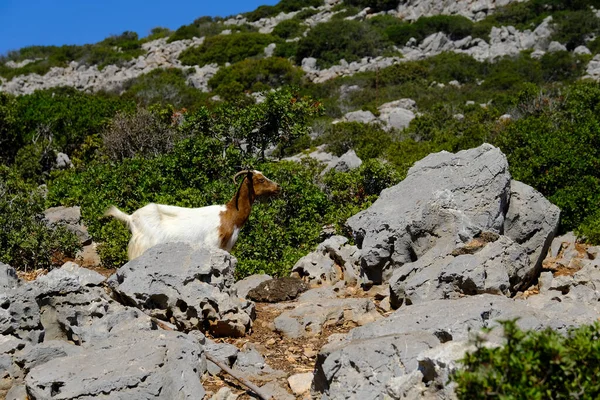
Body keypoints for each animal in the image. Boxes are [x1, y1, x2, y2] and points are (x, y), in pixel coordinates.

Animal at [105, 170, 282, 260]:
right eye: (260, 179)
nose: (278, 187)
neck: (230, 214)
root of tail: (131, 218)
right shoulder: (213, 243)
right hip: (144, 246)